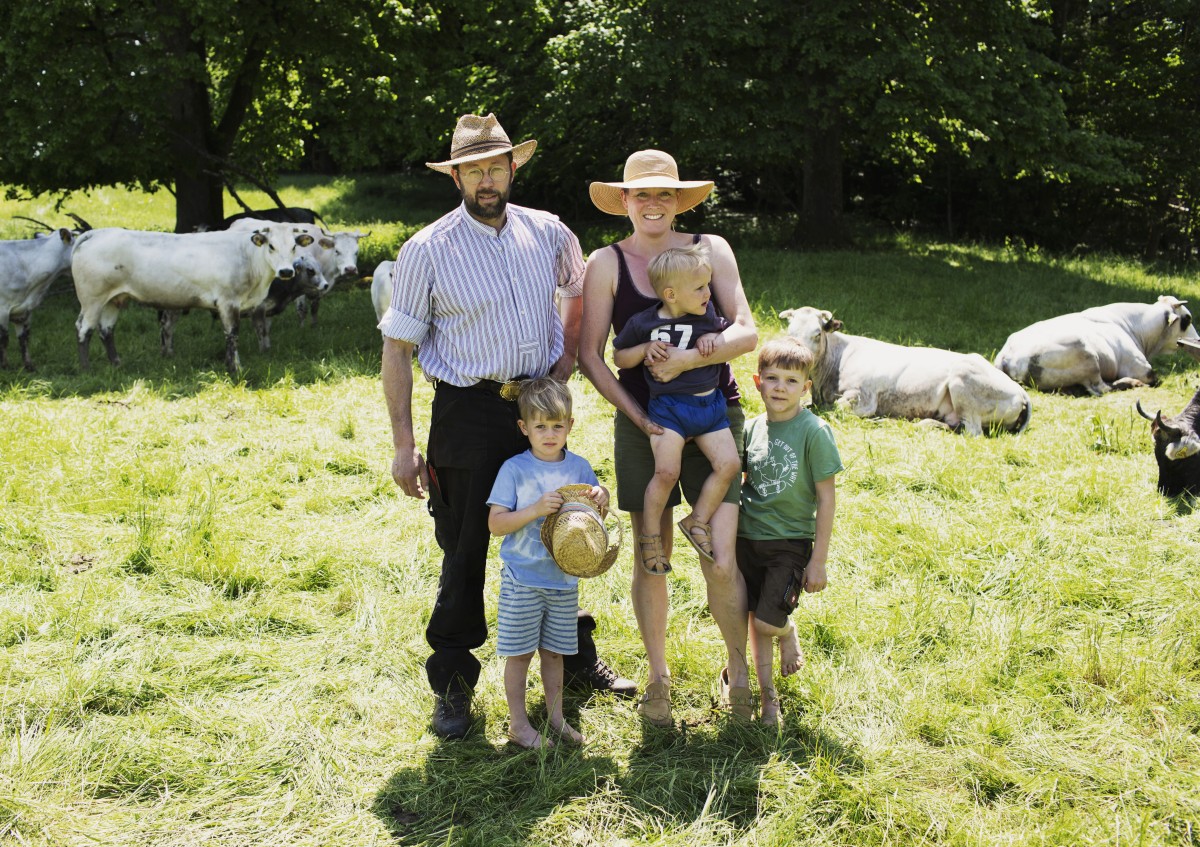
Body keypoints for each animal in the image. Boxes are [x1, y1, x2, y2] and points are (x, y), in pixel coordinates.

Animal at [777, 304, 1032, 436]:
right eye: (790, 331)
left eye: (817, 333)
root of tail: (1020, 391)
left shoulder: (863, 398)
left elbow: (834, 409)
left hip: (964, 382)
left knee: (972, 431)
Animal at [988, 293, 1195, 393]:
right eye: (1187, 319)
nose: (1197, 339)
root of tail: (1006, 357)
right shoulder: (1141, 368)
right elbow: (1155, 378)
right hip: (1088, 357)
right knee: (1102, 388)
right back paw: (1131, 383)